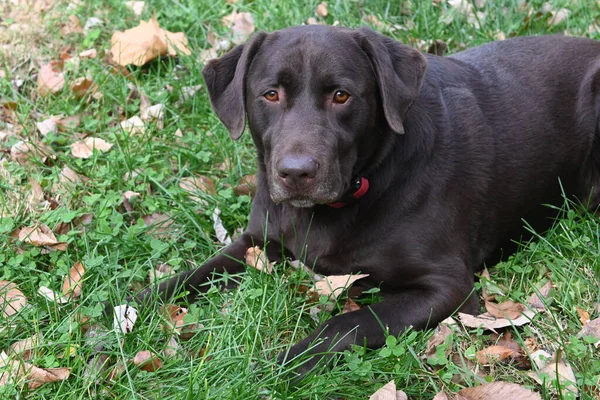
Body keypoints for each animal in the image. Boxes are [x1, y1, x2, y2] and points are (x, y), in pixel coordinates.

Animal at [122, 25, 600, 376]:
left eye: (341, 95)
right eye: (270, 94)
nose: (296, 173)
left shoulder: (449, 286)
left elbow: (348, 321)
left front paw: (282, 364)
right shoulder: (257, 241)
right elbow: (187, 278)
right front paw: (125, 312)